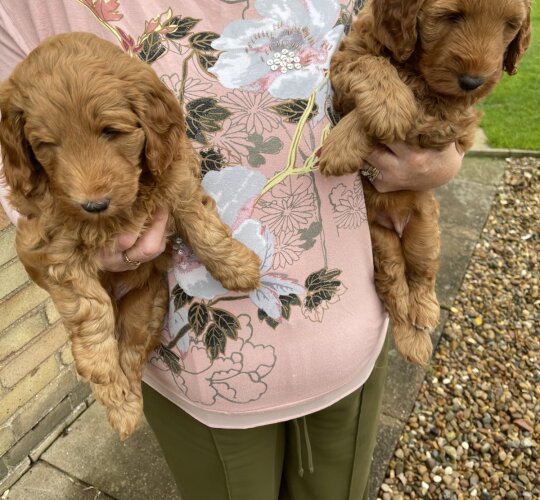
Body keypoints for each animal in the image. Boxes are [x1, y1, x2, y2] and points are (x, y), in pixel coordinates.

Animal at [0, 32, 262, 438]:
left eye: (111, 132)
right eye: (47, 146)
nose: (93, 204)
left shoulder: (175, 174)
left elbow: (201, 225)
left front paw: (237, 267)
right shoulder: (46, 244)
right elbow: (89, 308)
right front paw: (102, 370)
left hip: (147, 306)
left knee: (133, 350)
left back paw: (127, 403)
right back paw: (119, 400)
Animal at [318, 0, 528, 368]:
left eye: (510, 25)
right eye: (450, 16)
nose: (473, 82)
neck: (414, 63)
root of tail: (397, 225)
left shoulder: (454, 118)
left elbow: (416, 97)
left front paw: (342, 144)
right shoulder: (347, 60)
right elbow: (371, 64)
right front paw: (387, 109)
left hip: (426, 231)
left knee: (421, 273)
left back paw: (424, 317)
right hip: (380, 240)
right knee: (393, 282)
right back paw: (410, 331)